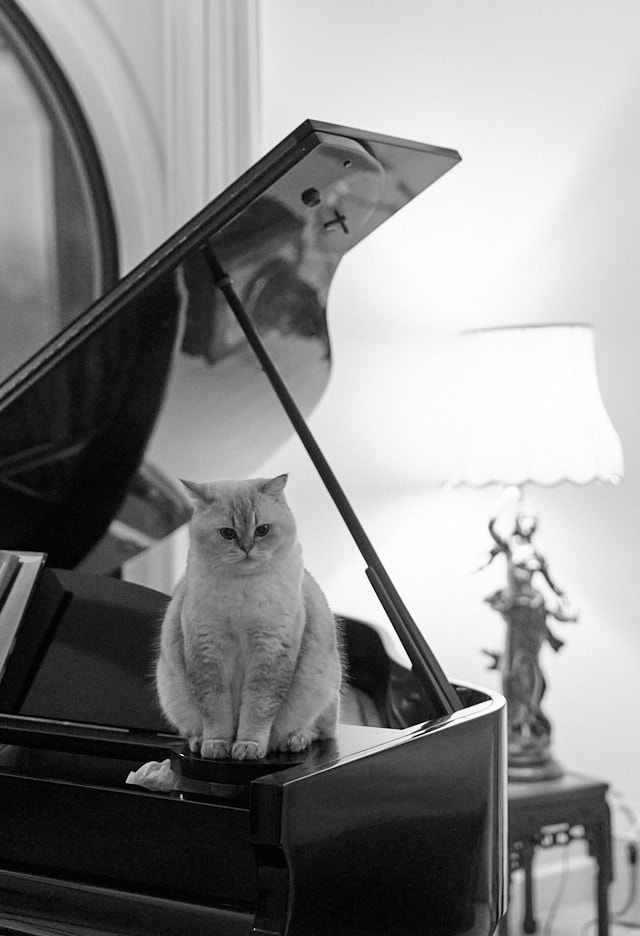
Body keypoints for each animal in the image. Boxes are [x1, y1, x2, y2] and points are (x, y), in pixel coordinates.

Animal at [156, 476, 342, 760]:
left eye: (262, 530)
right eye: (228, 533)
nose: (246, 548)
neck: (241, 588)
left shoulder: (270, 651)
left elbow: (258, 708)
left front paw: (248, 746)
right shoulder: (208, 652)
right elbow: (215, 710)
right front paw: (216, 745)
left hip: (322, 689)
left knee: (320, 730)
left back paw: (293, 740)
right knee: (192, 729)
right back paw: (198, 741)